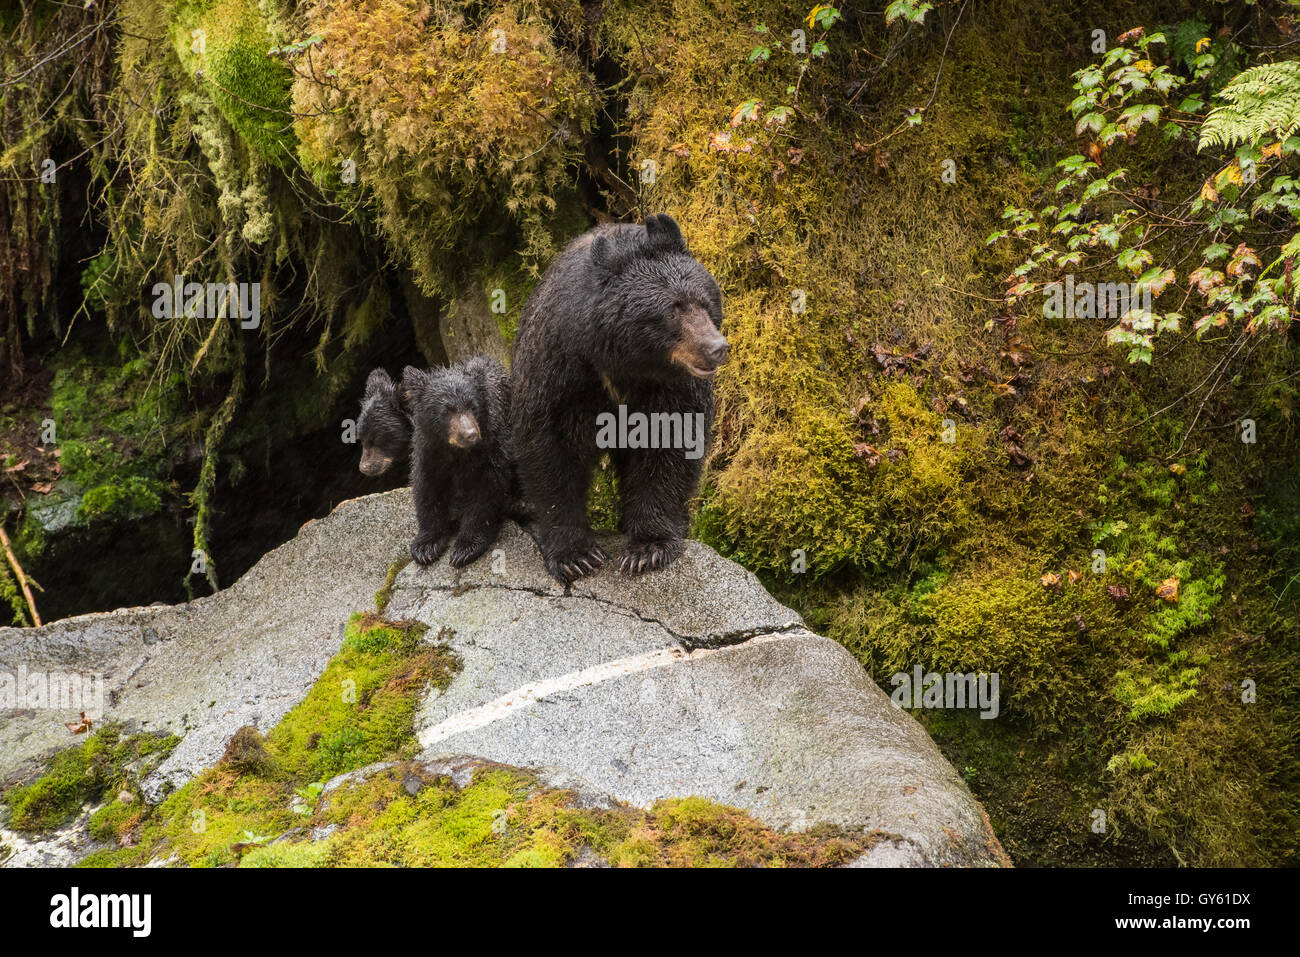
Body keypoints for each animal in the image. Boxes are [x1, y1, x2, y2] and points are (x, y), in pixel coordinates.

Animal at [400, 358, 512, 566]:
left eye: (472, 406)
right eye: (447, 411)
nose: (470, 434)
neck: (456, 452)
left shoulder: (492, 451)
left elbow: (485, 493)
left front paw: (465, 548)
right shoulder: (429, 454)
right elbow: (427, 488)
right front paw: (425, 546)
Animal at [509, 215, 733, 582]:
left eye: (706, 301)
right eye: (674, 309)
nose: (717, 347)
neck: (624, 361)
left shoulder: (671, 389)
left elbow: (669, 446)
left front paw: (648, 547)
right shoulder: (559, 369)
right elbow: (550, 450)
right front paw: (576, 555)